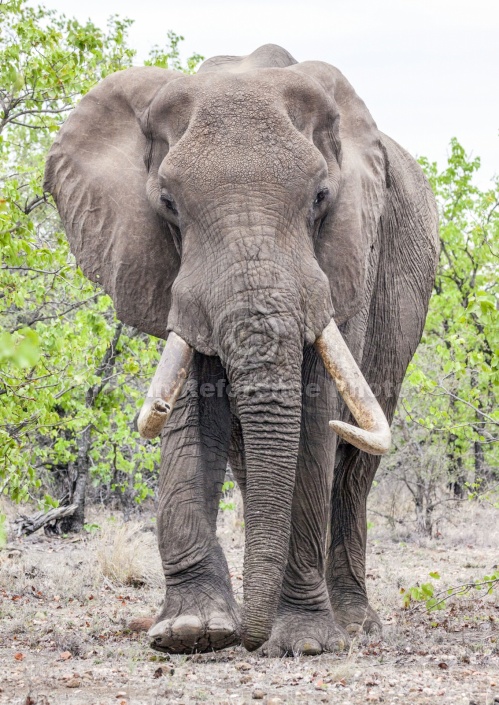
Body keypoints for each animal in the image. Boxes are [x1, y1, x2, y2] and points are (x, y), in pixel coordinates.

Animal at [46, 44, 438, 656]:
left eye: (320, 197)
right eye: (168, 204)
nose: (248, 641)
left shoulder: (345, 261)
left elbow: (315, 420)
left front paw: (305, 643)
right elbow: (192, 408)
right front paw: (192, 632)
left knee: (355, 465)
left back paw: (351, 625)